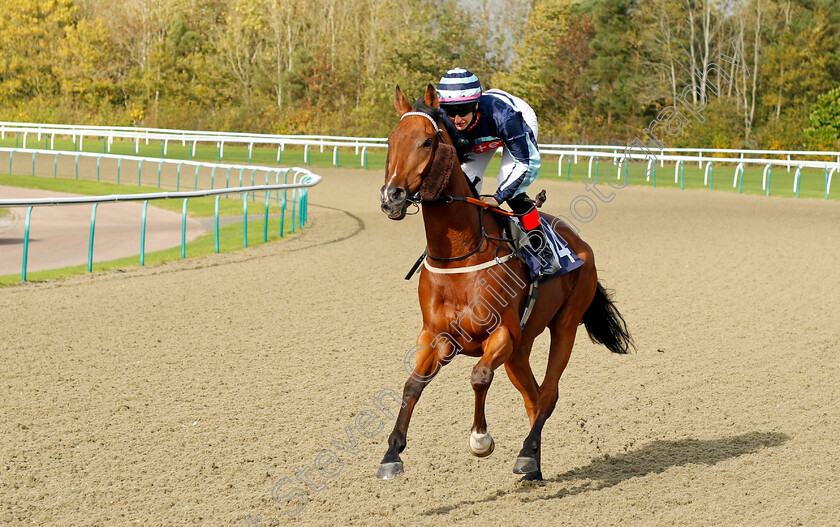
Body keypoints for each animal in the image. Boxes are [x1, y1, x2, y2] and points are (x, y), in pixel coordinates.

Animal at [376, 83, 632, 482]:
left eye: (428, 141)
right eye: (391, 140)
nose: (392, 197)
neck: (461, 254)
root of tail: (579, 242)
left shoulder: (502, 334)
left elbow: (479, 376)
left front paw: (480, 439)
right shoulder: (435, 335)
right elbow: (412, 385)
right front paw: (391, 454)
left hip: (565, 325)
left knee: (548, 394)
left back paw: (527, 455)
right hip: (521, 350)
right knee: (533, 395)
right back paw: (534, 467)